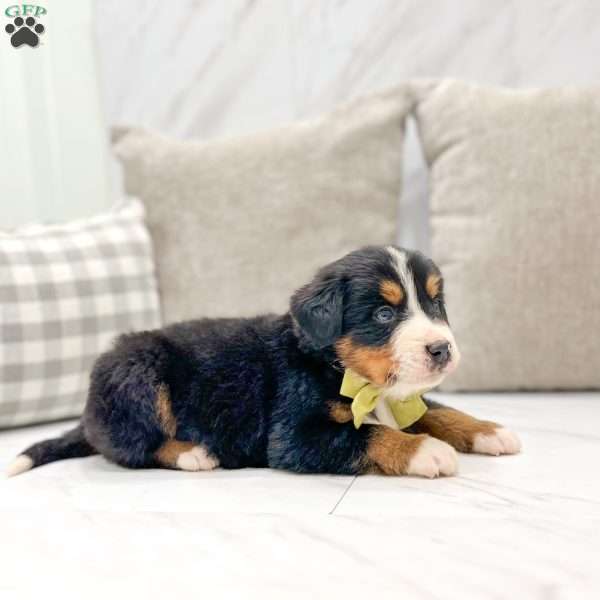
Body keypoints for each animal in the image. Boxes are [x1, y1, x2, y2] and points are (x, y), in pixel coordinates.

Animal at [7, 244, 516, 478]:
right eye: (384, 314)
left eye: (436, 304)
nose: (441, 349)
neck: (339, 369)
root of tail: (89, 411)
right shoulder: (291, 435)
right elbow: (369, 434)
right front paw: (425, 451)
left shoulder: (401, 399)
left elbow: (437, 411)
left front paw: (488, 430)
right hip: (138, 376)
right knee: (133, 445)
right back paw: (194, 453)